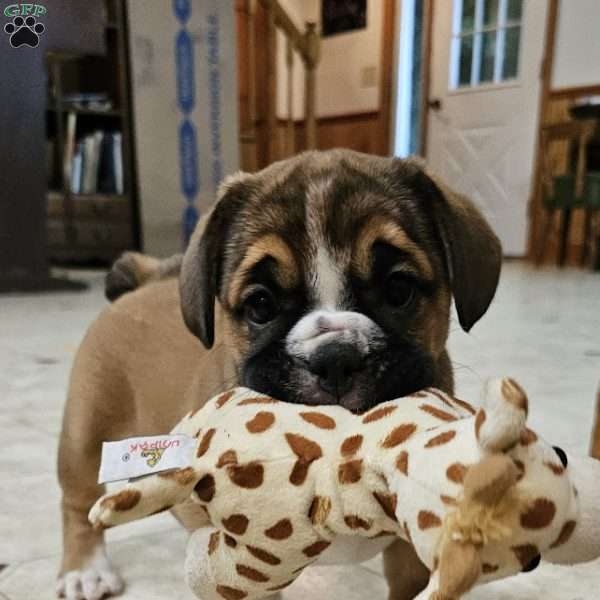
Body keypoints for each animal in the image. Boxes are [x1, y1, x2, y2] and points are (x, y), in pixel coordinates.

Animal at [58, 146, 502, 600]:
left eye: (399, 289)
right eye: (260, 304)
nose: (335, 356)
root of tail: (143, 285)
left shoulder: (408, 555)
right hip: (86, 433)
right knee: (77, 504)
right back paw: (84, 569)